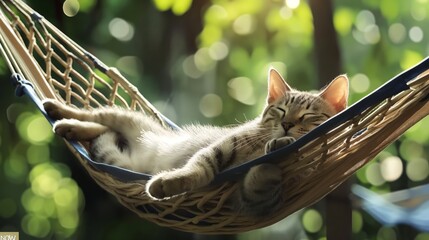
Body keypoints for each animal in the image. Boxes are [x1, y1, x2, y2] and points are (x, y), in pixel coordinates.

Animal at [43, 68, 348, 216]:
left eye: (307, 115)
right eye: (281, 111)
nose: (286, 125)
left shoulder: (256, 201)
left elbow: (261, 178)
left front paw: (276, 151)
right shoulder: (226, 143)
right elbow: (201, 166)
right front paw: (171, 181)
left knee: (99, 131)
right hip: (127, 118)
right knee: (96, 116)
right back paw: (62, 114)